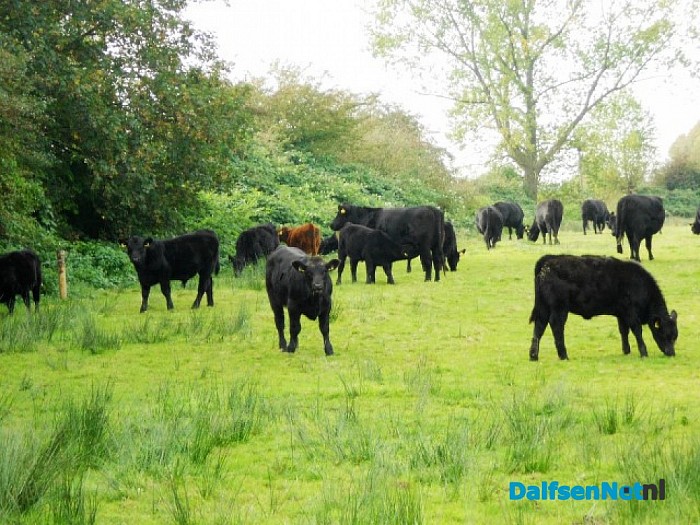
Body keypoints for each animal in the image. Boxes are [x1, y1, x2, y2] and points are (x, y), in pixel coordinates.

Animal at [528, 255, 678, 361]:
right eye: (665, 334)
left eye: (675, 336)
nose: (671, 353)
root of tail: (548, 262)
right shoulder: (630, 313)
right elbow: (637, 331)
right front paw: (643, 352)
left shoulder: (621, 314)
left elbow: (624, 331)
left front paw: (626, 351)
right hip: (559, 308)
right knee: (556, 326)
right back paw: (563, 355)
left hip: (544, 308)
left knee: (539, 326)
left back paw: (534, 356)